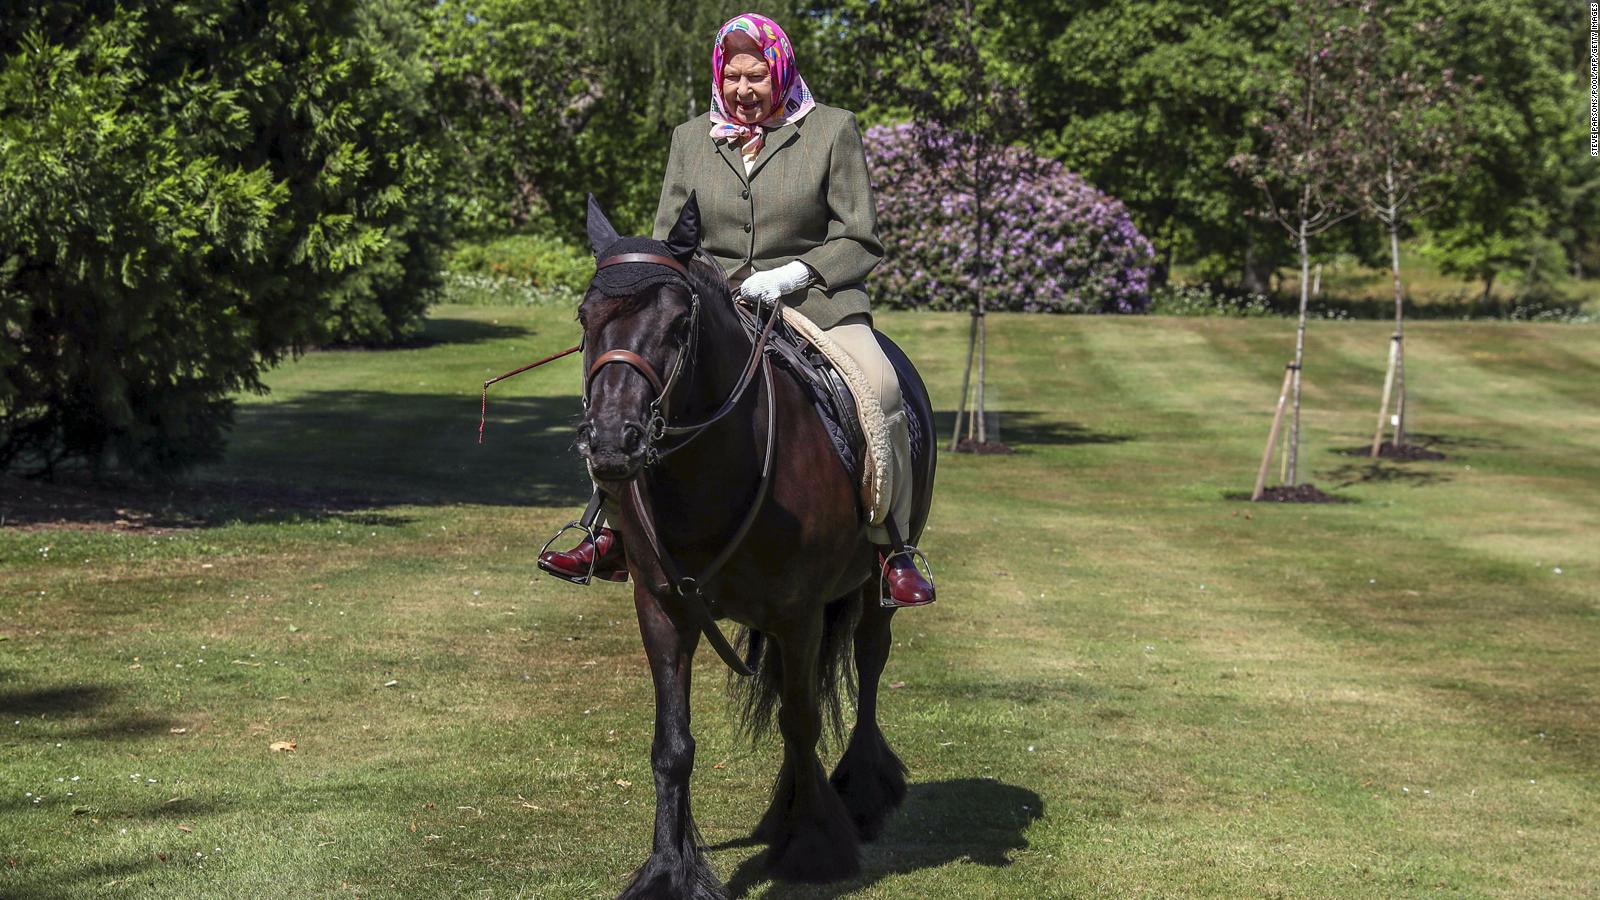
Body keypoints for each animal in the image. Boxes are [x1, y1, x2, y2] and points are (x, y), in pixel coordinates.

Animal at [582, 192, 934, 890]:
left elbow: (800, 721)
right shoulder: (662, 608)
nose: (611, 443)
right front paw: (669, 870)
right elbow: (673, 744)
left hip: (873, 590)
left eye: (677, 324)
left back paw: (859, 794)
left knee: (868, 667)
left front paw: (814, 846)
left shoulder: (798, 613)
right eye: (585, 317)